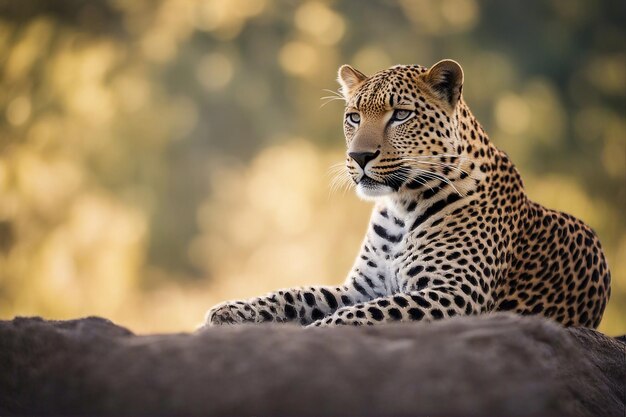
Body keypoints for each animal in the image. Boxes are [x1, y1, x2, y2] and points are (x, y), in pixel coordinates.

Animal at [201, 60, 608, 328]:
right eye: (353, 117)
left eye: (400, 115)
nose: (359, 156)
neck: (403, 206)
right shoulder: (362, 287)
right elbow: (300, 295)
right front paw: (228, 312)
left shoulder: (452, 294)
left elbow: (353, 317)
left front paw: (310, 335)